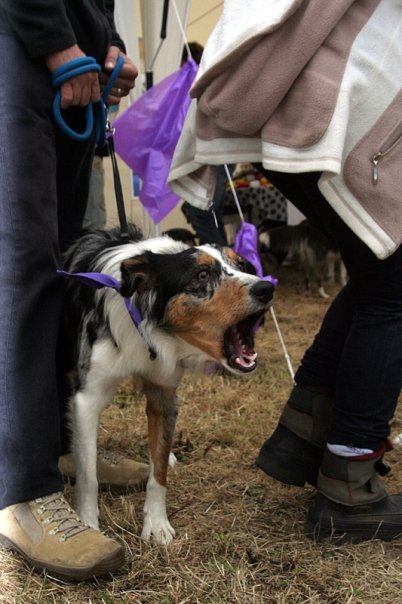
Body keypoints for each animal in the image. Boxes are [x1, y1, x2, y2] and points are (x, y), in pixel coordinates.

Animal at [60, 224, 274, 544]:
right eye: (202, 275)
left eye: (243, 266)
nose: (266, 288)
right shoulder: (87, 396)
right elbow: (88, 475)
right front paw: (88, 524)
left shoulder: (164, 392)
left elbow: (158, 470)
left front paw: (157, 525)